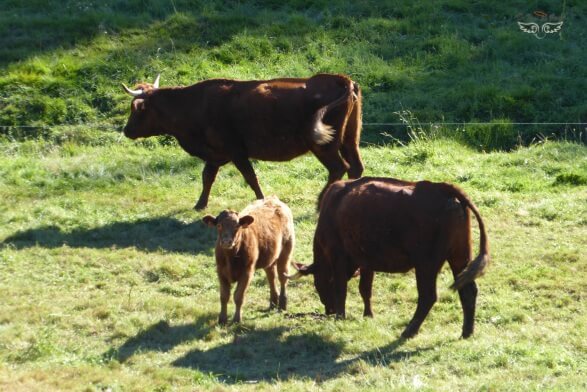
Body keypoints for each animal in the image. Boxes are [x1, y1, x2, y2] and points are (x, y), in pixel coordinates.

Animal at [123, 72, 362, 210]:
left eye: (136, 109)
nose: (126, 131)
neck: (195, 105)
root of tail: (341, 79)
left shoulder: (236, 151)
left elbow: (250, 177)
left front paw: (261, 201)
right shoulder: (215, 154)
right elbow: (207, 177)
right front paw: (200, 204)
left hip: (324, 145)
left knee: (339, 167)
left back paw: (321, 203)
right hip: (350, 139)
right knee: (355, 167)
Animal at [203, 196, 294, 324]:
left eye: (237, 226)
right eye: (219, 225)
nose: (226, 241)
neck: (231, 257)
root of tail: (273, 198)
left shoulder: (247, 272)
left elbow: (238, 296)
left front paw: (237, 319)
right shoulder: (221, 271)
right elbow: (224, 296)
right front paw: (222, 319)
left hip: (285, 252)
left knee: (282, 277)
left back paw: (282, 305)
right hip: (270, 258)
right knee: (271, 277)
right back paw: (273, 303)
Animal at [290, 176, 492, 338]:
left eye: (318, 283)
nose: (329, 311)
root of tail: (442, 188)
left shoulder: (337, 255)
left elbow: (342, 289)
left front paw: (340, 317)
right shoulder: (366, 262)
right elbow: (365, 289)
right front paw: (368, 315)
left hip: (426, 265)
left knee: (428, 296)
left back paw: (409, 331)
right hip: (459, 258)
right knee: (468, 291)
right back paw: (466, 332)